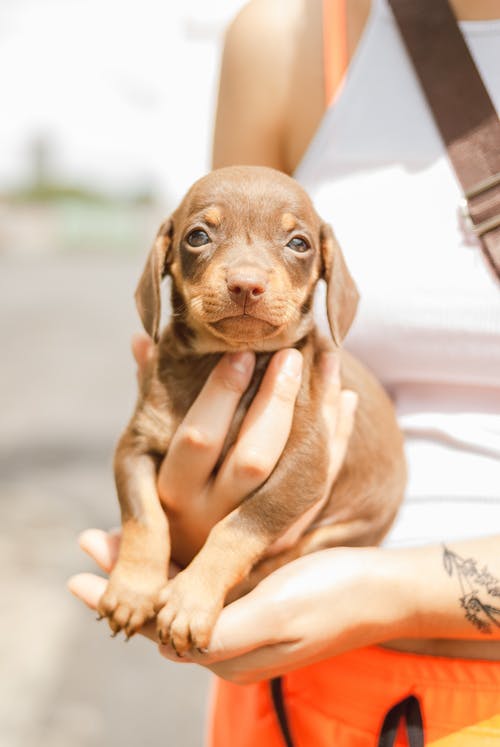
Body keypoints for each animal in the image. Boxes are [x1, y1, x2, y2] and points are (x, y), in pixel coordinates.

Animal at [98, 168, 406, 656]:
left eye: (299, 243)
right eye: (197, 237)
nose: (246, 284)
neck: (222, 358)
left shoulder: (303, 467)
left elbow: (238, 527)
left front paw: (190, 599)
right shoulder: (135, 445)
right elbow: (144, 518)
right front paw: (132, 589)